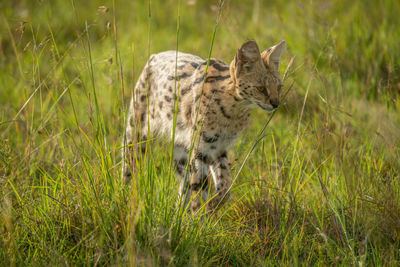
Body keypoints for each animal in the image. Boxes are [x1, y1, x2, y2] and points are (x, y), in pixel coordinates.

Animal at [121, 39, 284, 211]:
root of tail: (156, 55)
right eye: (261, 88)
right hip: (137, 135)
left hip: (181, 149)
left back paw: (179, 211)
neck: (233, 110)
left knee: (183, 184)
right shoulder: (201, 148)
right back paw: (125, 202)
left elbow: (225, 187)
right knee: (128, 171)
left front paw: (212, 205)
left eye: (279, 87)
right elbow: (199, 189)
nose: (276, 104)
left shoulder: (218, 148)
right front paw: (200, 215)